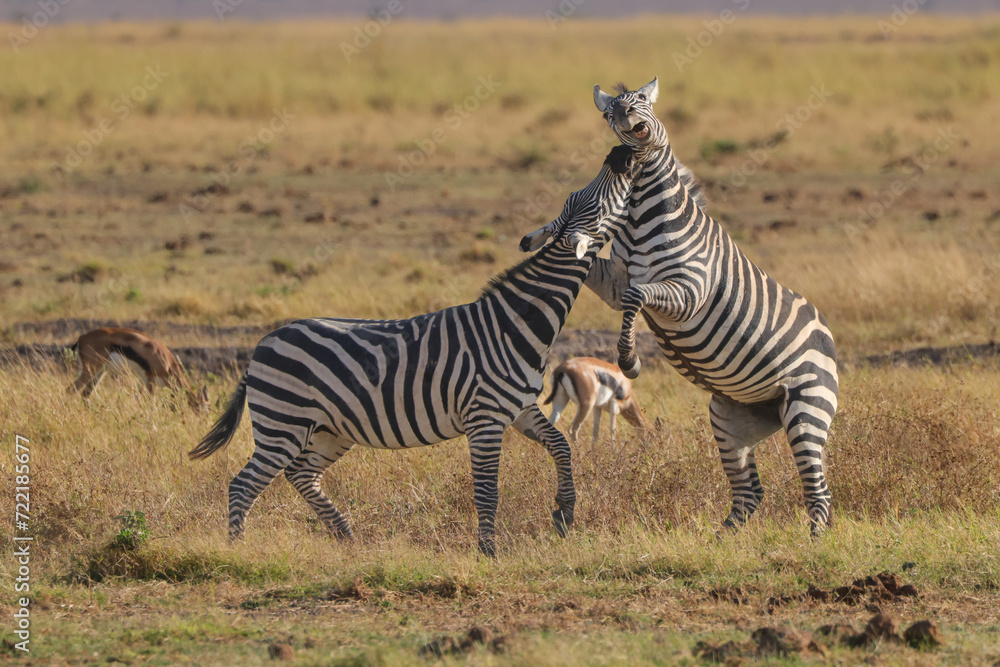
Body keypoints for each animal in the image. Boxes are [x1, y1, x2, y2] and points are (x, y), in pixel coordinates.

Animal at [189, 145, 639, 557]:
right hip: (283, 424)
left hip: (329, 429)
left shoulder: (520, 409)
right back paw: (238, 550)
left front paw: (564, 512)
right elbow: (487, 490)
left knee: (301, 475)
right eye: (598, 198)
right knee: (244, 484)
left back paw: (347, 538)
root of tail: (263, 344)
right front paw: (488, 552)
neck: (515, 322)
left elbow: (561, 446)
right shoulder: (485, 418)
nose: (619, 153)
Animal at [573, 77, 836, 536]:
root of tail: (828, 334)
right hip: (730, 418)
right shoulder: (616, 280)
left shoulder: (690, 289)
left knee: (817, 487)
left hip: (807, 406)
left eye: (640, 103)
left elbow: (637, 299)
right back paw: (721, 539)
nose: (626, 122)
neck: (641, 218)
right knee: (750, 491)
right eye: (609, 114)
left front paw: (629, 360)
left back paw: (815, 540)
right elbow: (613, 284)